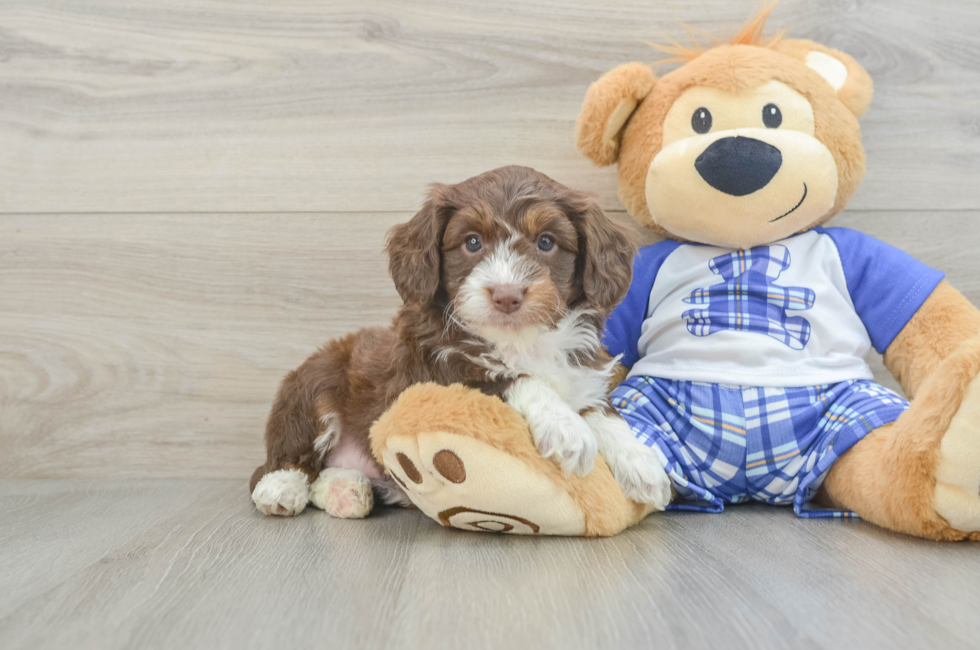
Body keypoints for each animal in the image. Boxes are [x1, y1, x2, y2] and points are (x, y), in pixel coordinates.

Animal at [249, 166, 668, 516]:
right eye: (472, 242)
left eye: (546, 242)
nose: (507, 295)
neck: (519, 339)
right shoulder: (428, 376)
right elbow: (511, 379)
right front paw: (566, 427)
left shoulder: (582, 372)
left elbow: (600, 411)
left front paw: (642, 464)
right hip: (312, 384)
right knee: (284, 459)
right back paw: (282, 488)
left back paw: (346, 492)